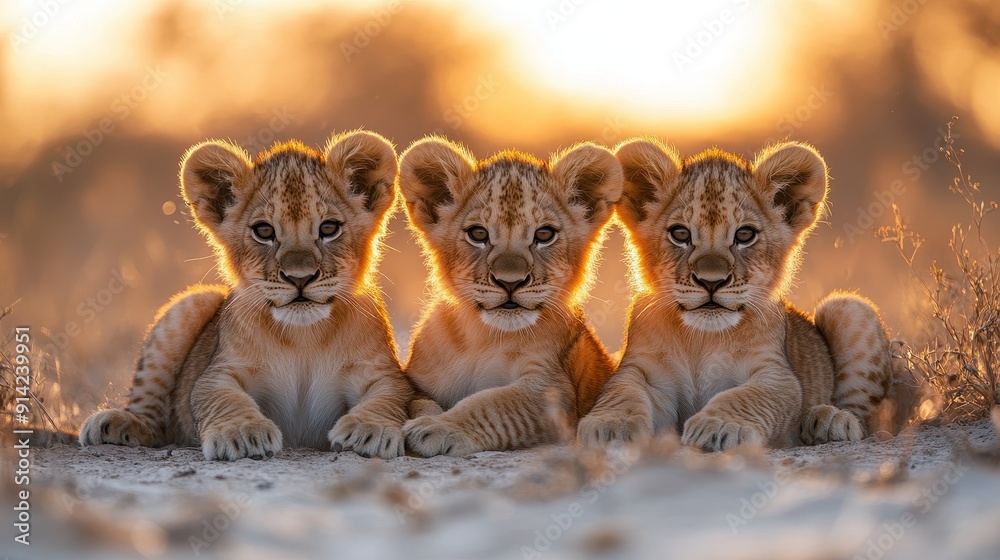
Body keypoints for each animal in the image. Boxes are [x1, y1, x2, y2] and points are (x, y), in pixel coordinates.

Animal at [79, 130, 413, 460]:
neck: (304, 337)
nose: (300, 278)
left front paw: (369, 430)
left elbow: (391, 396)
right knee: (152, 417)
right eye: (264, 231)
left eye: (329, 228)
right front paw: (242, 432)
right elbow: (222, 397)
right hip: (192, 302)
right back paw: (116, 423)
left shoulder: (384, 373)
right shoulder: (218, 372)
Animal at [397, 137, 622, 456]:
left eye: (545, 234)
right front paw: (427, 418)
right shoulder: (417, 382)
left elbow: (492, 404)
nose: (510, 282)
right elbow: (417, 402)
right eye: (478, 234)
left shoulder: (553, 391)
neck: (484, 338)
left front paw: (436, 427)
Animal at [578, 139, 894, 451]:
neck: (702, 340)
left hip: (847, 308)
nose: (711, 281)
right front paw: (610, 426)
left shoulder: (777, 374)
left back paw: (830, 421)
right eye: (680, 234)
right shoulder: (643, 372)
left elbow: (748, 397)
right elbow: (623, 392)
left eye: (744, 235)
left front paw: (719, 425)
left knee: (865, 416)